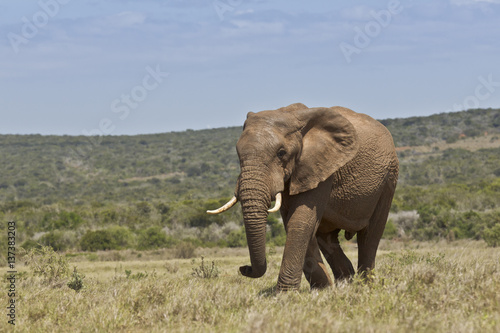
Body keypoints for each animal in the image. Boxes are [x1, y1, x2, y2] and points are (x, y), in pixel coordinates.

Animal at [207, 102, 398, 290]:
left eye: (281, 153)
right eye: (238, 154)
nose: (244, 268)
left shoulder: (321, 168)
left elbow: (300, 220)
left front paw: (285, 293)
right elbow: (296, 223)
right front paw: (322, 289)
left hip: (389, 178)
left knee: (370, 235)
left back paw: (365, 287)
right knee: (327, 238)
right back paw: (344, 285)